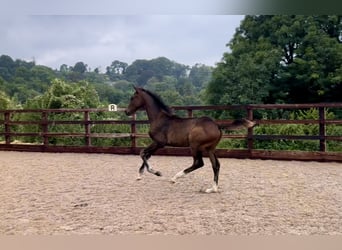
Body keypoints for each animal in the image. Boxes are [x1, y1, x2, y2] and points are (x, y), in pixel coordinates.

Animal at [124, 86, 255, 193]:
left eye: (132, 98)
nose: (126, 111)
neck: (159, 118)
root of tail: (217, 125)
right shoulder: (157, 144)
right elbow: (146, 154)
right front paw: (140, 175)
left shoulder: (159, 143)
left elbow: (143, 153)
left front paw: (156, 172)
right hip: (210, 148)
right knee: (215, 165)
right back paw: (212, 189)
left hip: (195, 145)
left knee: (199, 163)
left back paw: (175, 178)